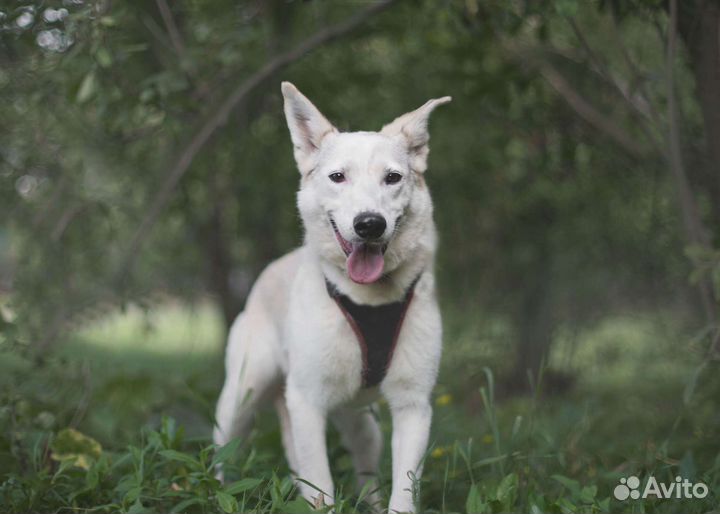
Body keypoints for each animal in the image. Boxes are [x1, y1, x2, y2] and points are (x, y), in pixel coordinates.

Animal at [214, 82, 450, 510]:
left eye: (393, 177)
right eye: (337, 177)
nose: (369, 224)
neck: (369, 299)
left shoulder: (413, 405)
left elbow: (403, 491)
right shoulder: (306, 402)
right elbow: (319, 485)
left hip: (362, 420)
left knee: (366, 468)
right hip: (241, 398)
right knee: (223, 452)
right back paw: (215, 491)